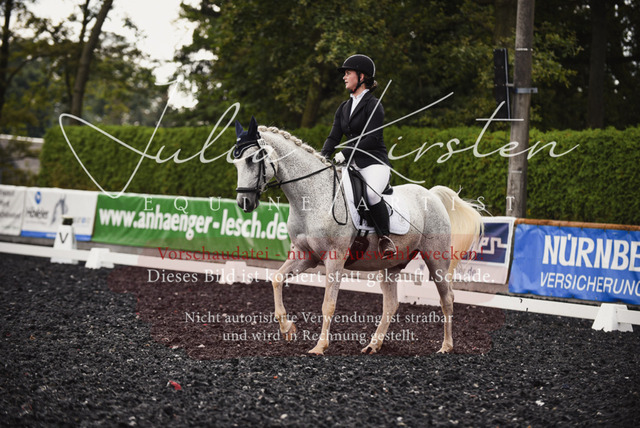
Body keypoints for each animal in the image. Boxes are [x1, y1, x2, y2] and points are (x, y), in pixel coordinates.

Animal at [232, 117, 483, 355]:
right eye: (236, 162)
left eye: (252, 159)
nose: (244, 203)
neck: (312, 196)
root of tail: (431, 195)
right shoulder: (305, 255)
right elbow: (276, 279)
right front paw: (287, 329)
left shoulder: (334, 258)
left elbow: (328, 304)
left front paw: (319, 347)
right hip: (391, 264)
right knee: (391, 304)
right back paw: (373, 345)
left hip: (436, 259)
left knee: (447, 298)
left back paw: (446, 346)